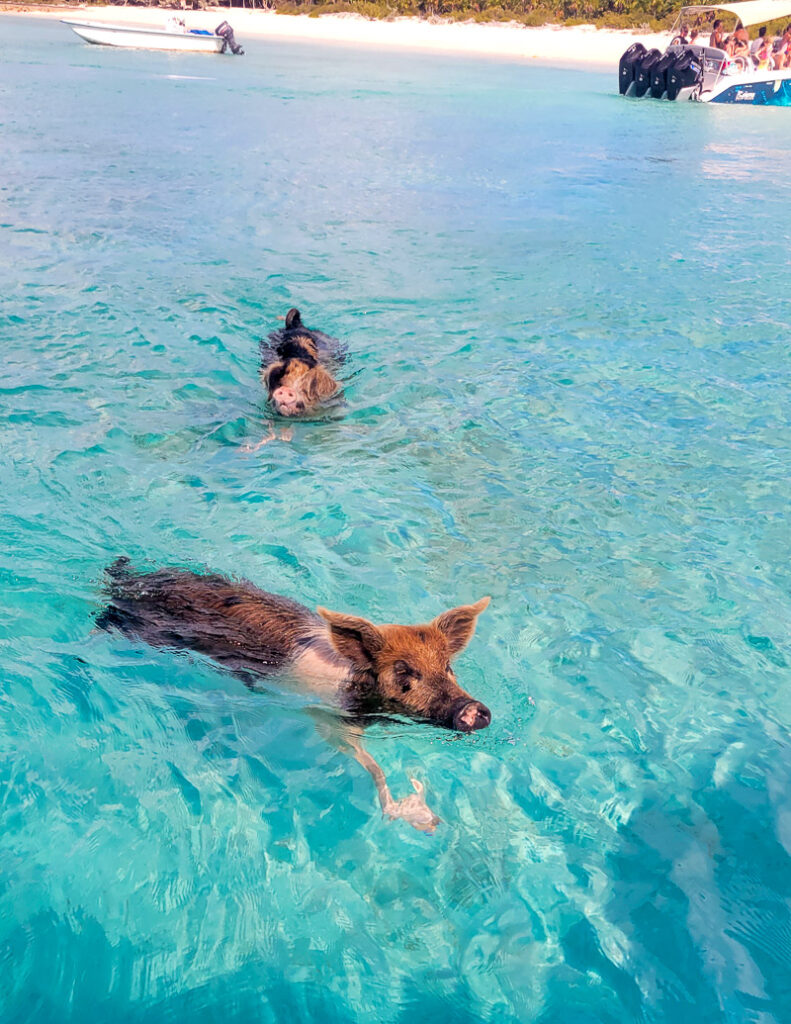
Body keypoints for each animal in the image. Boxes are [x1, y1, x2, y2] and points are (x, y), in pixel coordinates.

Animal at [95, 561, 491, 831]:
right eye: (404, 673)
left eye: (448, 667)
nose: (473, 709)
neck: (352, 685)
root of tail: (130, 579)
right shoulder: (327, 720)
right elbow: (367, 763)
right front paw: (424, 817)